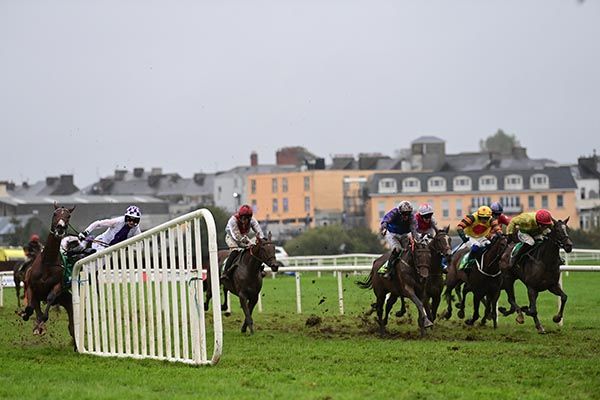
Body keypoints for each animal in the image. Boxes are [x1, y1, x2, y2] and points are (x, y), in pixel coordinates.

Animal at [20, 205, 75, 346]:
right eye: (55, 213)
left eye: (68, 216)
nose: (60, 228)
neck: (48, 262)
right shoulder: (31, 287)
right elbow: (30, 308)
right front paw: (27, 317)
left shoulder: (58, 286)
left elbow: (49, 300)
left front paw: (41, 323)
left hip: (65, 299)